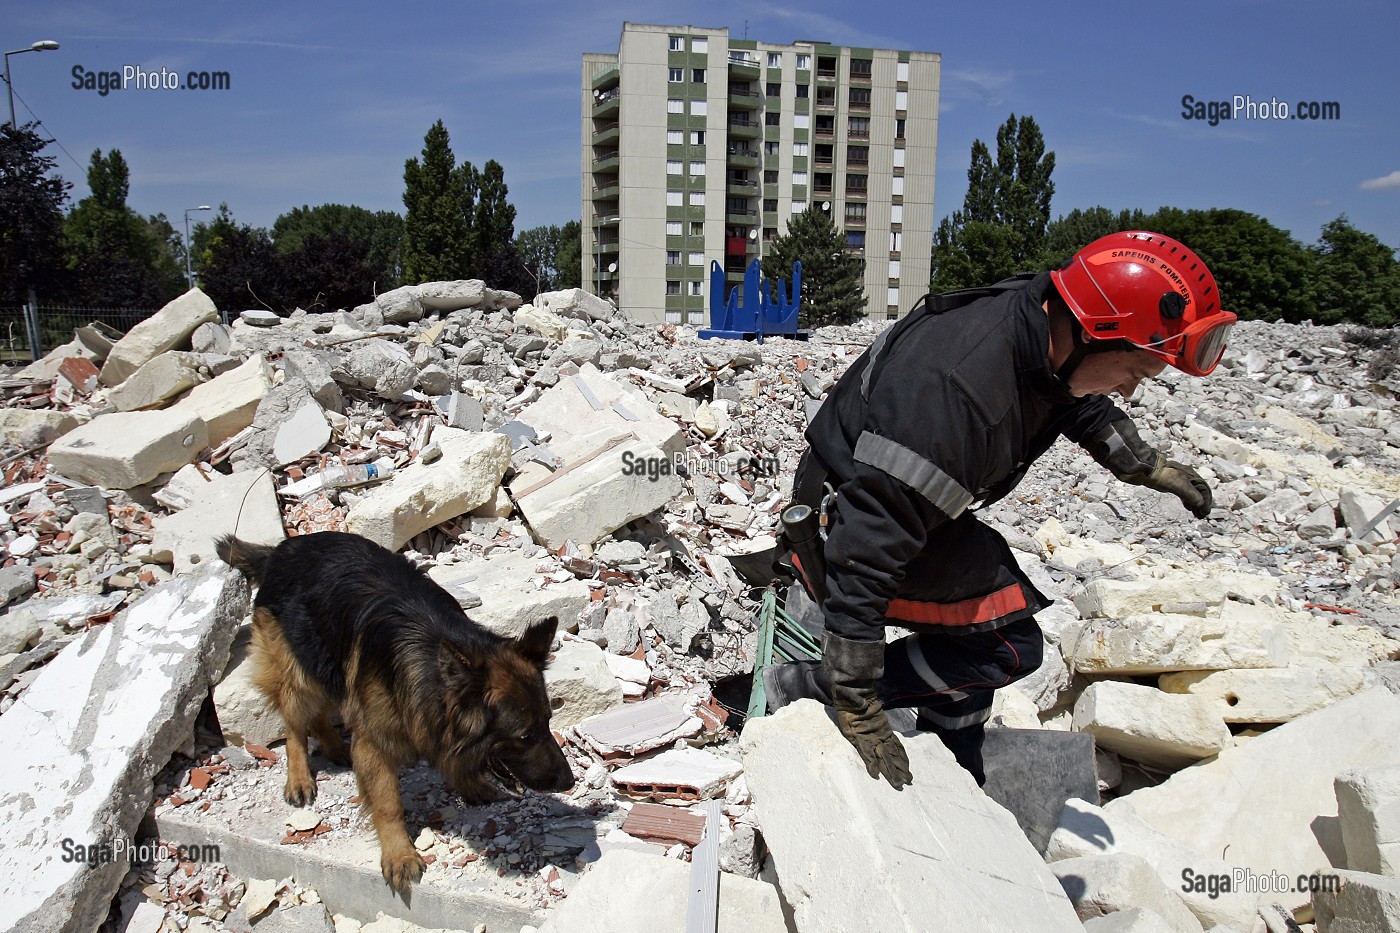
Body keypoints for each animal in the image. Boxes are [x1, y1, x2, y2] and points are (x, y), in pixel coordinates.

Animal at [214, 526, 574, 890]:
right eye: (524, 736)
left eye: (548, 722)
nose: (569, 782)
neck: (430, 658)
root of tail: (282, 548)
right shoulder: (376, 743)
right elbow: (388, 804)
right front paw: (399, 854)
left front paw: (469, 783)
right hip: (300, 673)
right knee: (295, 725)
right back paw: (299, 777)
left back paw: (337, 748)